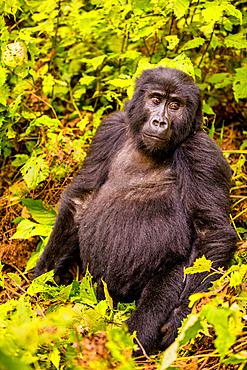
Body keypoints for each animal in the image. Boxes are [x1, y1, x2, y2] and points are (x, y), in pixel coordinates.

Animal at [32, 66, 235, 356]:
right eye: (156, 100)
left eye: (175, 105)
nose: (160, 122)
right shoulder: (109, 129)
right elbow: (82, 199)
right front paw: (42, 277)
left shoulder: (200, 151)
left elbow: (211, 232)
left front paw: (180, 319)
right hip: (98, 291)